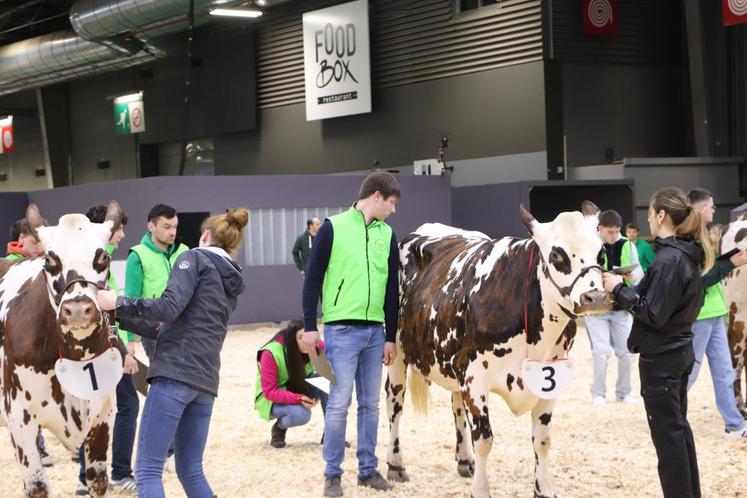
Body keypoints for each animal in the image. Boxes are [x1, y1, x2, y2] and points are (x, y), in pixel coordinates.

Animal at [0, 200, 124, 496]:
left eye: (103, 257)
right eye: (49, 260)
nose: (77, 309)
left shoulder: (103, 415)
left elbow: (97, 481)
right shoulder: (18, 417)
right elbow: (37, 486)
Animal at [386, 202, 612, 498]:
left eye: (602, 252)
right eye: (556, 255)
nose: (595, 298)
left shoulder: (551, 378)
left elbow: (542, 440)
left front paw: (544, 489)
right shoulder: (474, 376)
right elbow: (484, 439)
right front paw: (481, 490)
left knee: (456, 407)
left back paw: (464, 460)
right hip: (397, 354)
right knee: (394, 406)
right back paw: (395, 465)